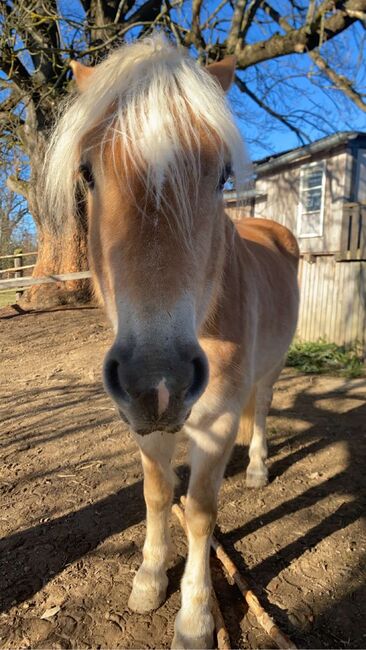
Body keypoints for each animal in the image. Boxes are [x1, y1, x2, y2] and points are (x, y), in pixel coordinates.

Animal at [44, 34, 298, 648]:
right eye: (87, 172)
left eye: (223, 174)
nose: (158, 382)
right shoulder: (145, 423)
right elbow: (158, 495)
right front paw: (148, 580)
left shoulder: (217, 421)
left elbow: (202, 512)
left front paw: (195, 617)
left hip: (270, 368)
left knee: (264, 405)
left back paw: (257, 469)